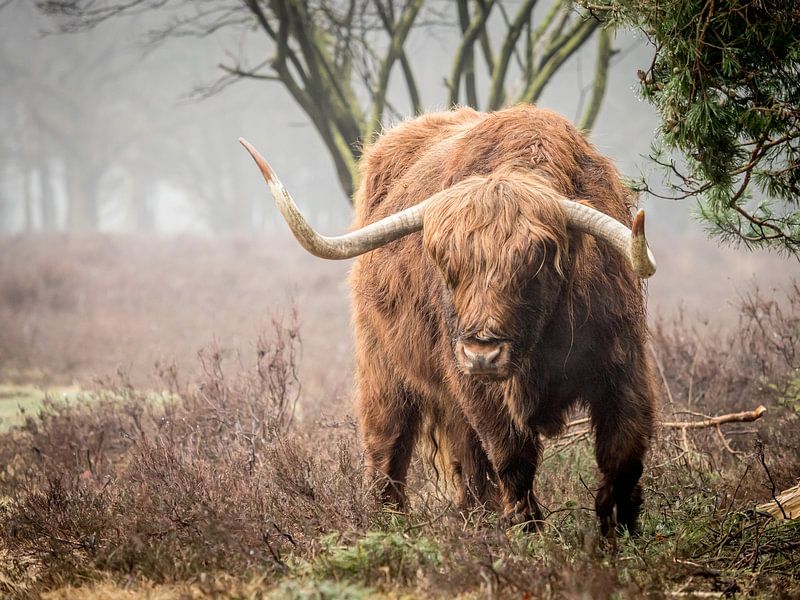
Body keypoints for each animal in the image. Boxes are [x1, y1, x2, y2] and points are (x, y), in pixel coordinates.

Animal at [239, 103, 656, 536]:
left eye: (536, 259)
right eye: (446, 262)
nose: (481, 354)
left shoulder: (622, 362)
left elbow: (624, 451)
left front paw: (620, 531)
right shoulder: (477, 388)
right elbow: (512, 457)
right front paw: (529, 531)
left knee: (466, 457)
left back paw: (474, 515)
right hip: (383, 366)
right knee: (389, 443)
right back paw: (389, 521)